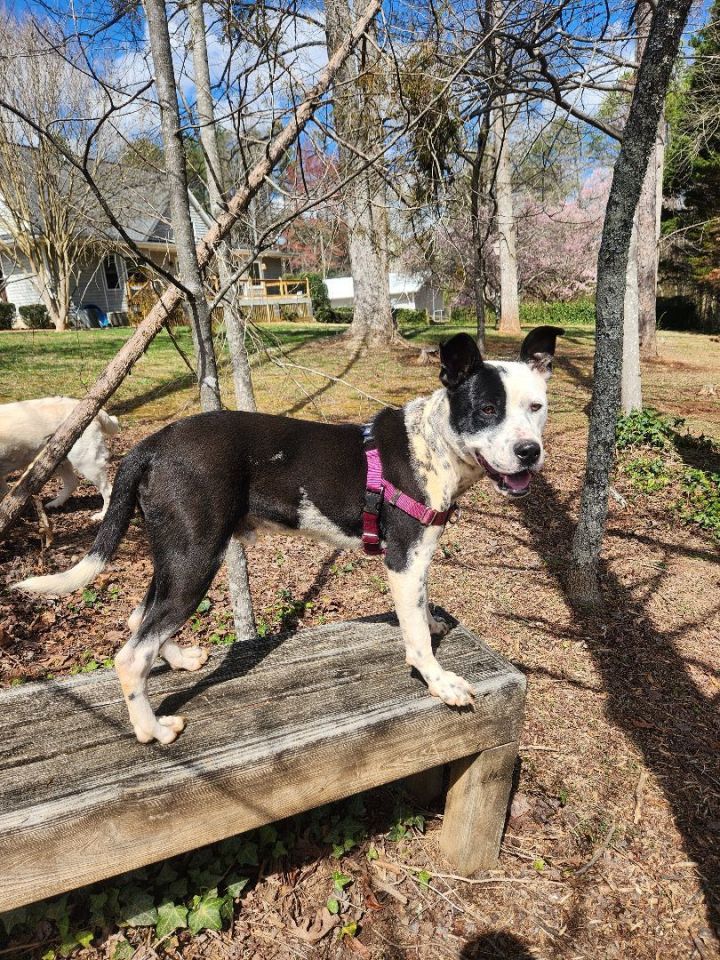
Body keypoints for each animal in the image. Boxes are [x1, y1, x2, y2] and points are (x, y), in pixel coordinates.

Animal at [14, 326, 560, 748]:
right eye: (486, 409)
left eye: (537, 407)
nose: (529, 452)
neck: (433, 443)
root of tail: (150, 445)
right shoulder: (405, 558)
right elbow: (416, 638)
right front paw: (440, 682)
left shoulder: (416, 562)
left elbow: (421, 614)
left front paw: (432, 627)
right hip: (196, 558)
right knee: (130, 656)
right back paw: (153, 730)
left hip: (176, 553)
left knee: (139, 617)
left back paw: (179, 658)